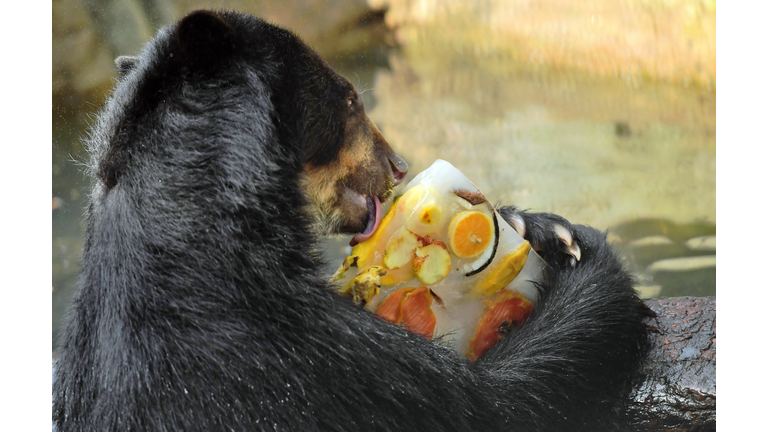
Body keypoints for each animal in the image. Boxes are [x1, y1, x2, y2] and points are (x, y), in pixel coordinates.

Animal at [52, 10, 648, 432]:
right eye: (353, 99)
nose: (398, 165)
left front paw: (539, 228)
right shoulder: (295, 362)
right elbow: (501, 402)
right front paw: (584, 252)